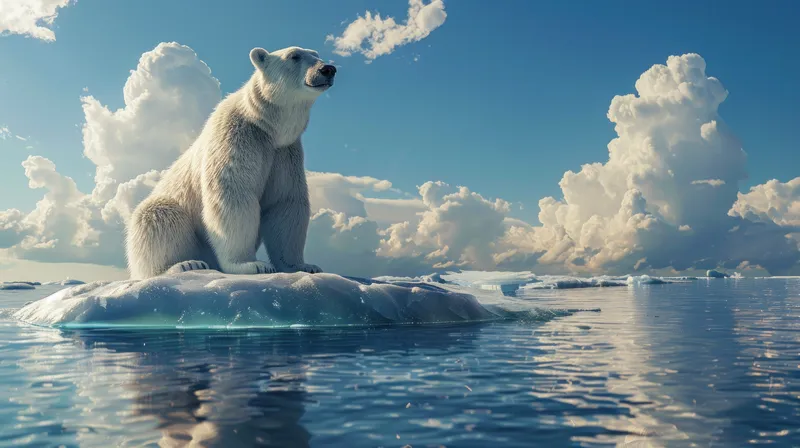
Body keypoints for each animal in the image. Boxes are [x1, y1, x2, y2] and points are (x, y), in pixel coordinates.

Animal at [124, 45, 336, 279]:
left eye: (316, 55)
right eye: (294, 56)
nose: (328, 69)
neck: (266, 126)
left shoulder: (285, 152)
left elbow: (285, 202)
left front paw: (304, 266)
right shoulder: (236, 138)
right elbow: (234, 195)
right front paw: (252, 265)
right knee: (157, 216)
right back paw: (184, 264)